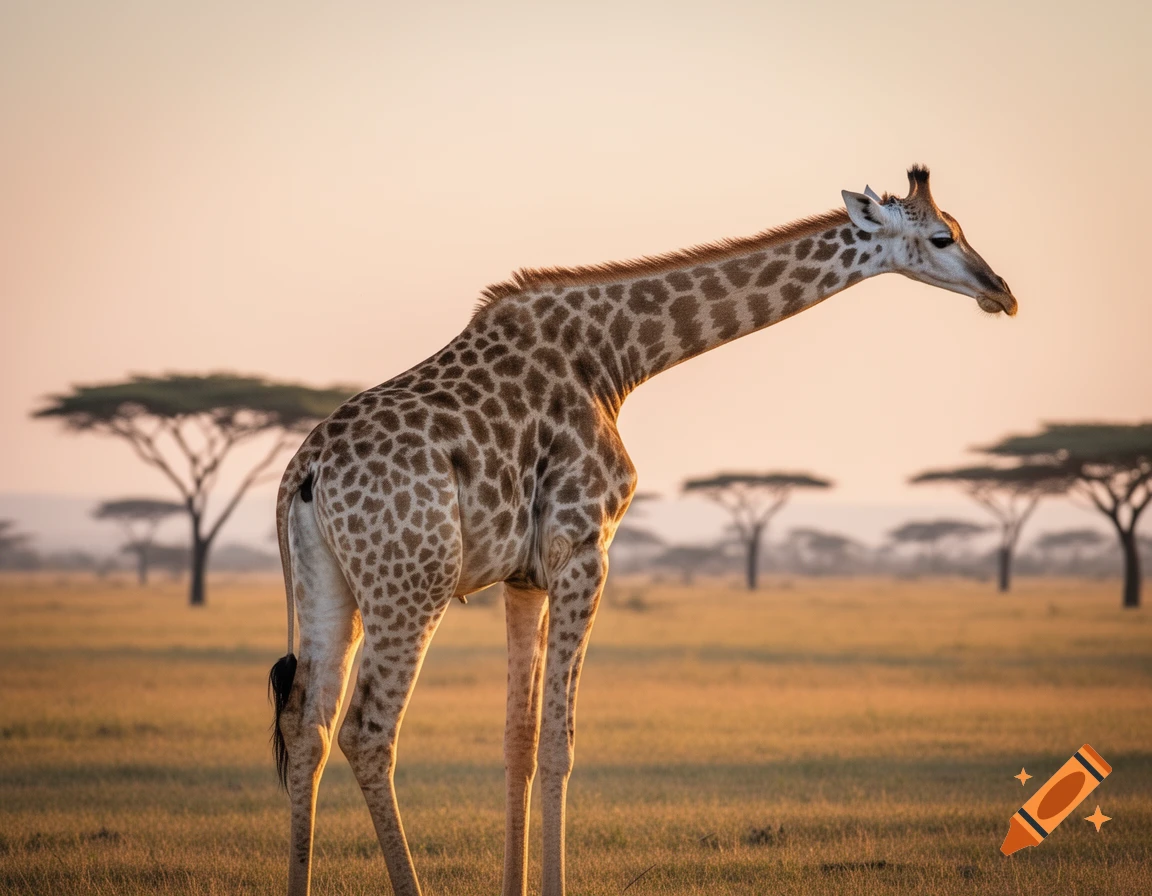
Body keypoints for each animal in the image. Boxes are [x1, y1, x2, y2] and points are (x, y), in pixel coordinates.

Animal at [268, 166, 1015, 896]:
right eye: (944, 238)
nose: (1002, 293)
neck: (618, 356)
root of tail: (305, 469)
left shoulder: (524, 575)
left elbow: (519, 739)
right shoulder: (584, 548)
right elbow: (561, 743)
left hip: (329, 585)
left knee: (308, 727)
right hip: (410, 584)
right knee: (368, 733)